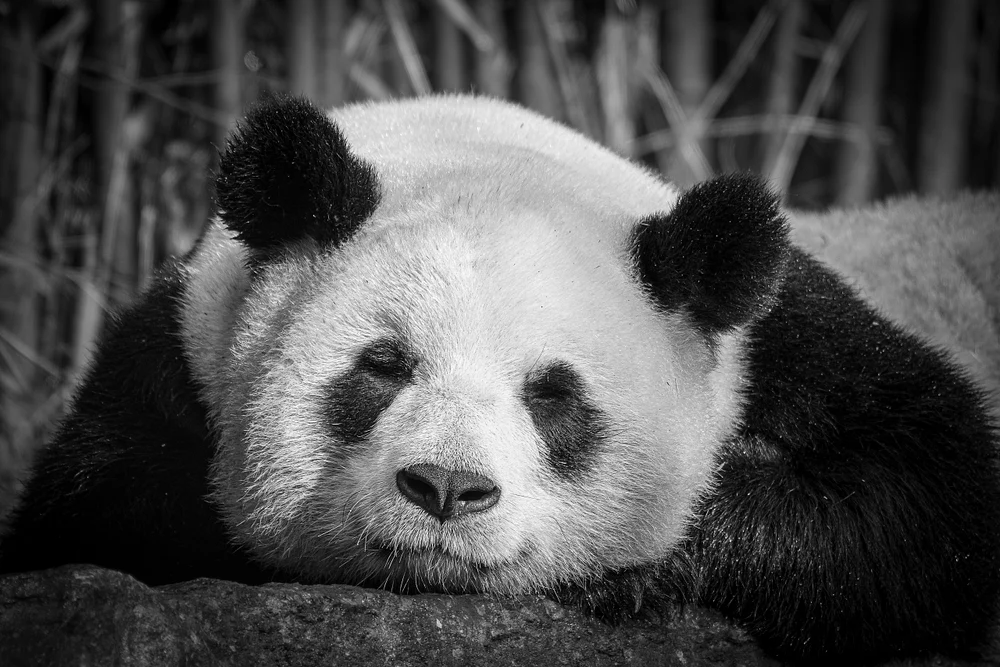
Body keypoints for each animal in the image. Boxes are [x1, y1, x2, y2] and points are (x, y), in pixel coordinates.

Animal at [0, 93, 997, 663]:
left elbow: (927, 496)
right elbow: (106, 507)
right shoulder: (176, 351)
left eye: (552, 395)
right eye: (384, 365)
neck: (477, 147)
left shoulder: (786, 340)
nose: (446, 487)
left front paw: (643, 565)